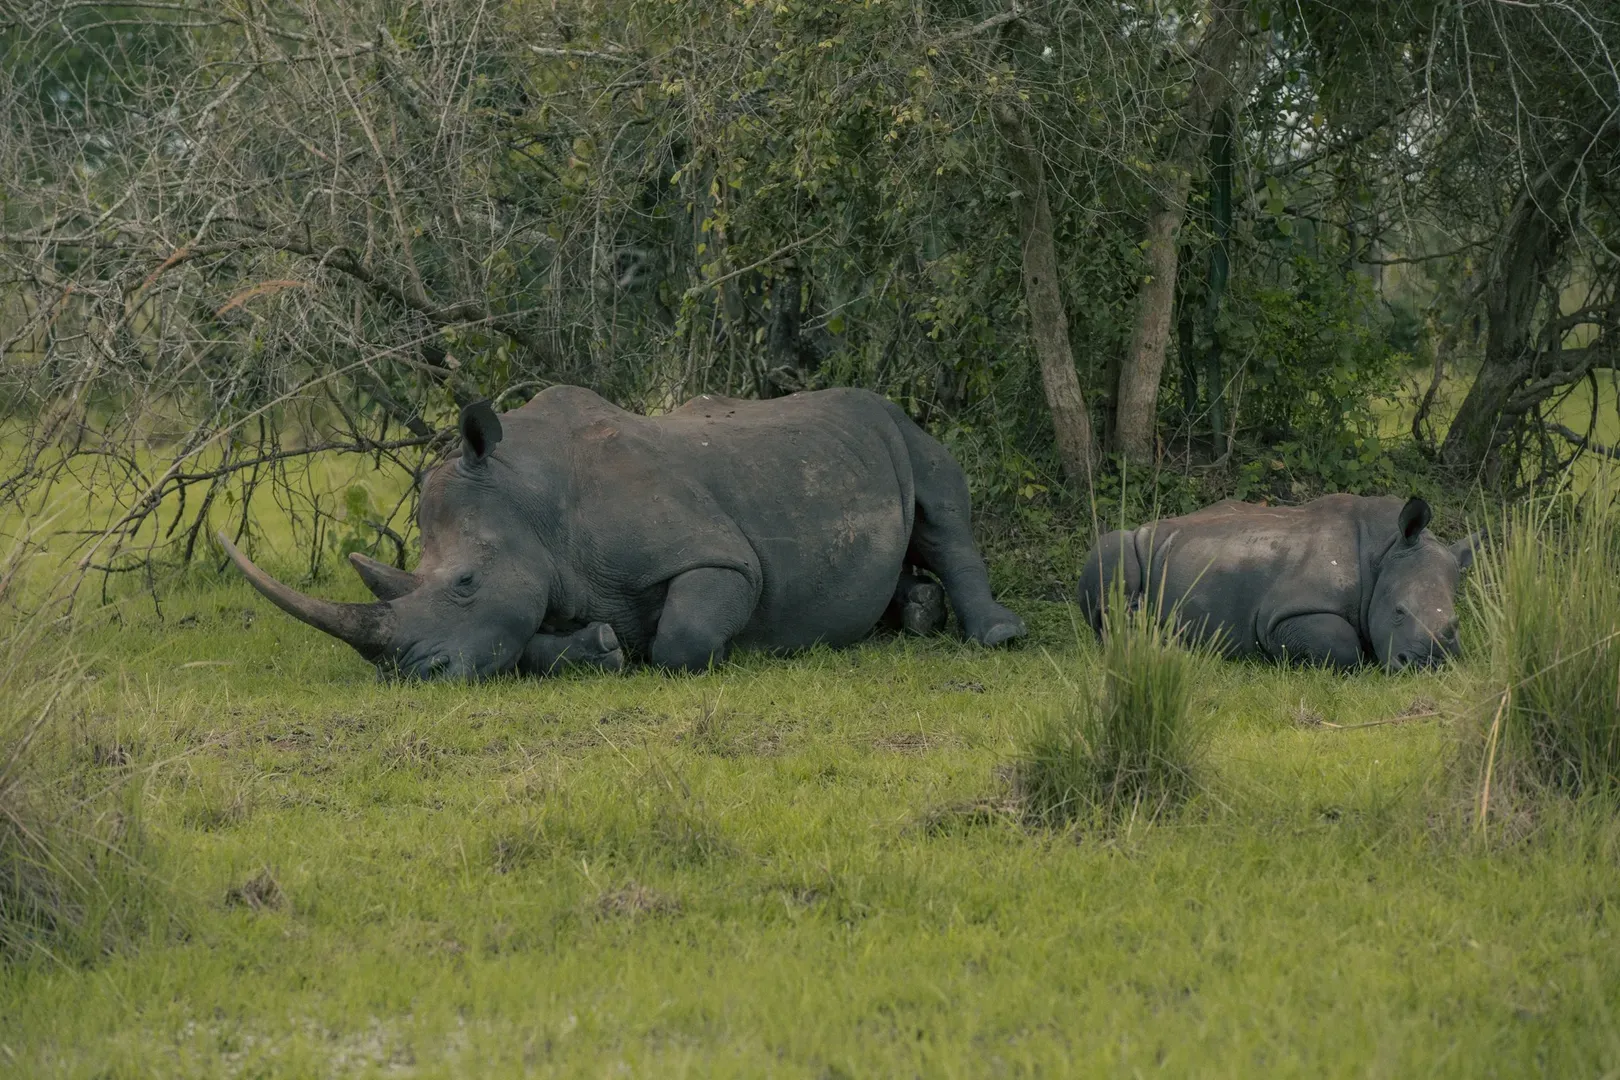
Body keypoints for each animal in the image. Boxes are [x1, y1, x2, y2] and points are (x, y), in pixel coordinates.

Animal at [219, 385, 1024, 680]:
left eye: (466, 582)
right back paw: (915, 613)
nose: (412, 673)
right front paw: (602, 647)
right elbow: (534, 643)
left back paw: (997, 636)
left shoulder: (720, 559)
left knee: (944, 509)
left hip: (895, 423)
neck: (534, 501)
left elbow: (682, 640)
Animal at [1076, 494, 1478, 671]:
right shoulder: (1282, 614)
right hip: (1126, 541)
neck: (1384, 548)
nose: (1426, 665)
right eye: (1398, 611)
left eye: (1457, 623)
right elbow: (1343, 645)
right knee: (1112, 549)